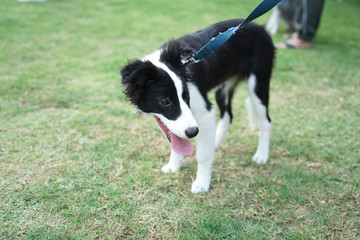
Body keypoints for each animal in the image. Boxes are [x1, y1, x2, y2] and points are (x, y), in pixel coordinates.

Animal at [119, 19, 274, 194]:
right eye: (164, 101)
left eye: (186, 96)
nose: (193, 132)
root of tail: (259, 26)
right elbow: (177, 141)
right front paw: (174, 165)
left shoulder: (204, 112)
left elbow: (202, 155)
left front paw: (202, 183)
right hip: (223, 88)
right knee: (228, 116)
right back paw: (214, 143)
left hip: (258, 82)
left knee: (266, 121)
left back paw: (261, 155)